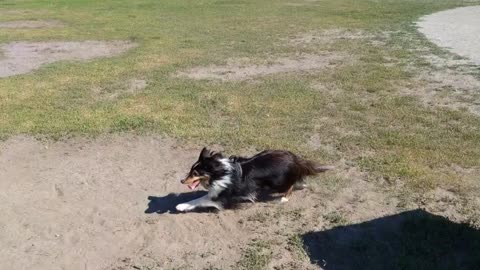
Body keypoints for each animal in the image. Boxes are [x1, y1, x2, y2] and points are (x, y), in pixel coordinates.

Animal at [176, 147, 334, 212]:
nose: (182, 181)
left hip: (277, 183)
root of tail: (293, 158)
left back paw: (284, 198)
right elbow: (200, 198)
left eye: (195, 173)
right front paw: (184, 205)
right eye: (191, 171)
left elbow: (200, 200)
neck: (219, 173)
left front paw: (181, 206)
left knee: (290, 185)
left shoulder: (224, 198)